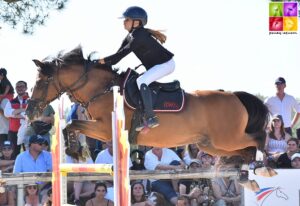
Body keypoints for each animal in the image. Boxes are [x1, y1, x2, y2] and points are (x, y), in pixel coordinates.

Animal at [26, 45, 276, 191]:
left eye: (42, 81)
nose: (30, 112)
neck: (102, 89)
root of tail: (234, 95)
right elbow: (71, 125)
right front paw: (76, 150)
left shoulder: (105, 129)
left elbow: (72, 123)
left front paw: (75, 150)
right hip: (212, 144)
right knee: (244, 150)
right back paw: (246, 176)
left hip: (226, 138)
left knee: (257, 138)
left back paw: (263, 168)